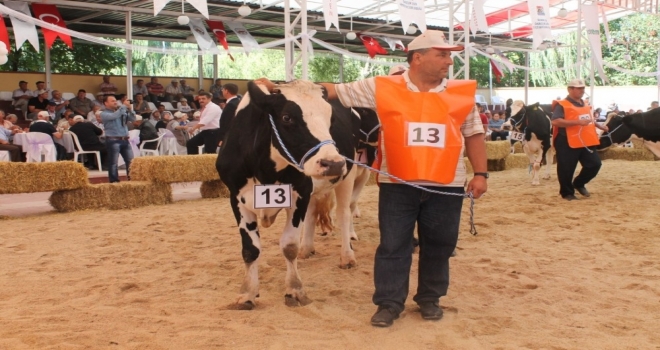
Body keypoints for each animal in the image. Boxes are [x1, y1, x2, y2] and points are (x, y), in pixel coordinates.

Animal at [217, 81, 358, 308]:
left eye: (331, 118)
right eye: (286, 117)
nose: (333, 163)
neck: (265, 169)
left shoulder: (299, 193)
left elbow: (289, 246)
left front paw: (295, 289)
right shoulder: (236, 197)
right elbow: (250, 248)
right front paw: (247, 293)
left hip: (348, 174)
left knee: (344, 214)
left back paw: (347, 256)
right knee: (312, 215)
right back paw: (307, 249)